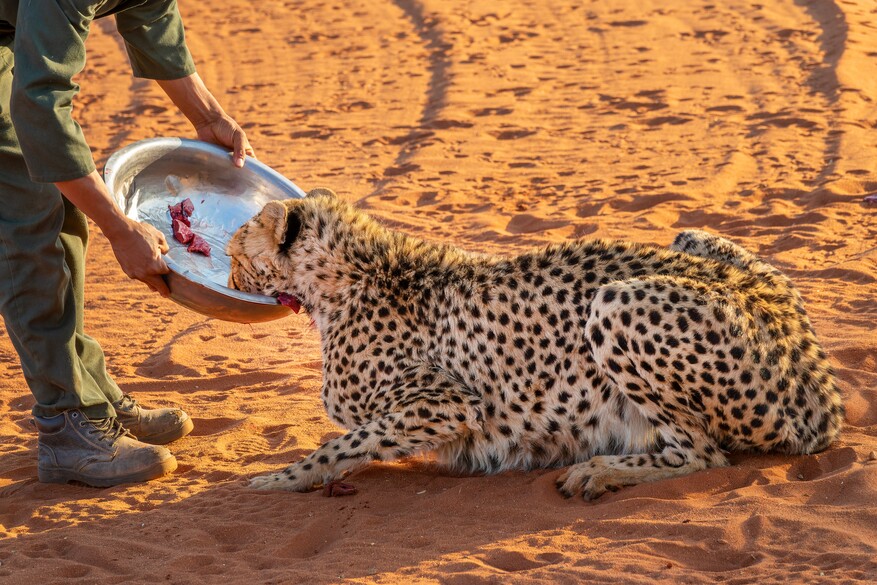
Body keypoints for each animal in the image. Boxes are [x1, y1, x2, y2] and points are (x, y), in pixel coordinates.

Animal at [226, 188, 844, 499]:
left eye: (234, 251)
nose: (228, 275)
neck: (355, 272)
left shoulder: (447, 404)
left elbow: (344, 443)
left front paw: (282, 479)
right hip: (690, 238)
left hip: (614, 304)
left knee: (701, 453)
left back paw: (599, 471)